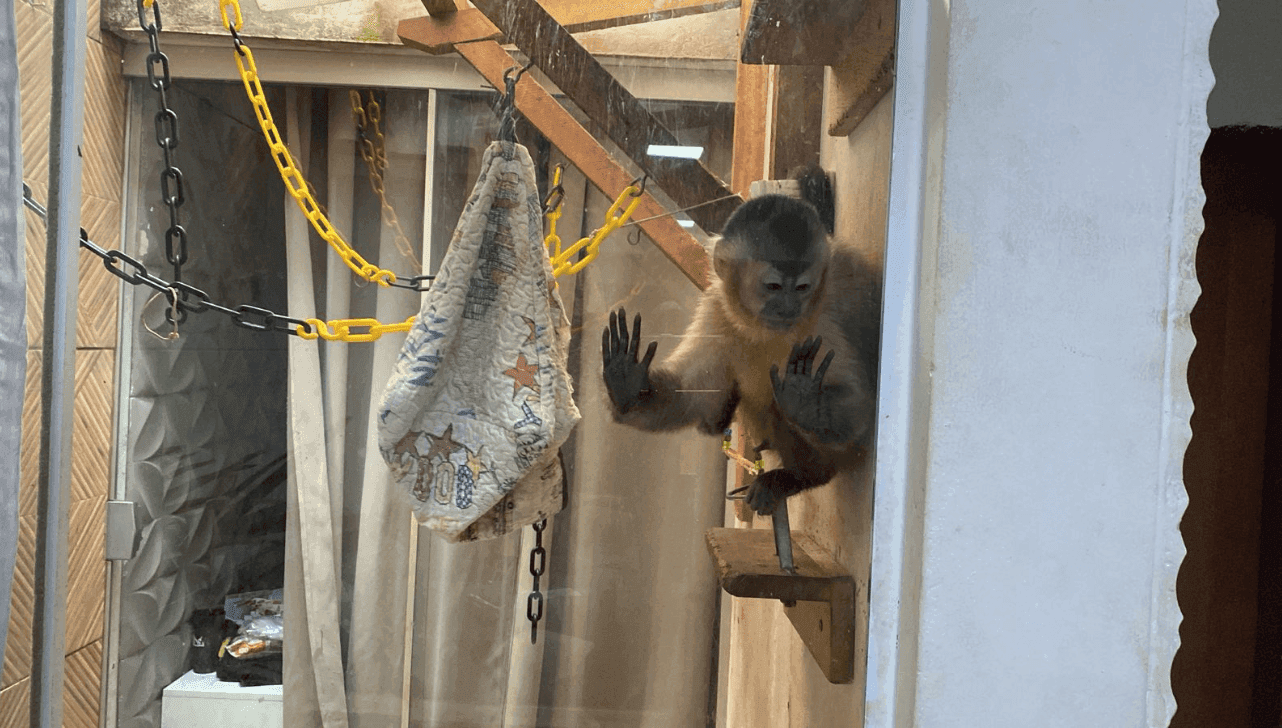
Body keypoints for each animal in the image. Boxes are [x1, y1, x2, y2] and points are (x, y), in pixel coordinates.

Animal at [600, 176, 880, 516]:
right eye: (773, 286)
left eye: (802, 288)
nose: (789, 307)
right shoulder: (717, 309)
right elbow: (696, 393)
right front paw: (628, 386)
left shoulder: (823, 320)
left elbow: (859, 407)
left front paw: (809, 405)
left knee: (779, 403)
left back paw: (804, 475)